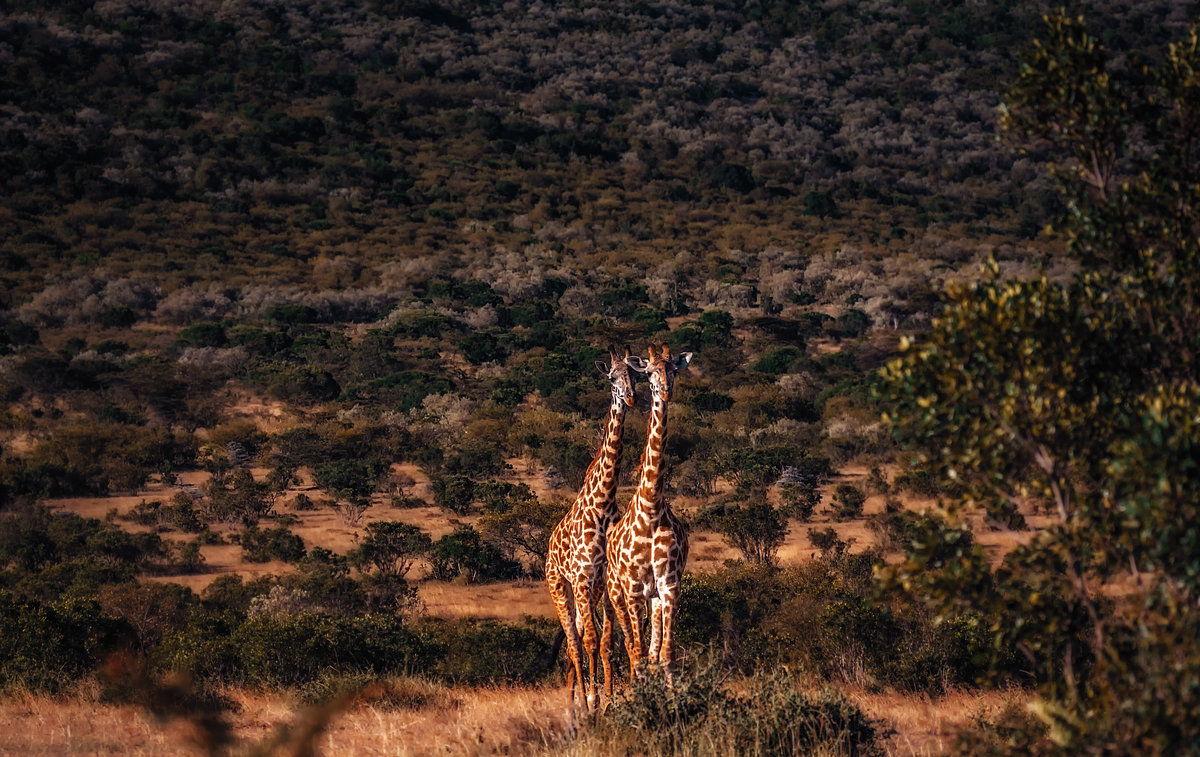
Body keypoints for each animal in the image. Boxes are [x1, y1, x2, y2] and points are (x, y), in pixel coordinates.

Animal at [544, 345, 638, 715]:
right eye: (611, 377)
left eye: (636, 374)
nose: (630, 397)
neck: (603, 502)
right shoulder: (583, 579)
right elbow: (590, 641)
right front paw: (595, 702)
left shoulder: (605, 581)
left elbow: (608, 641)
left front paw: (610, 699)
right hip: (560, 586)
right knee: (574, 641)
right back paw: (579, 704)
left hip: (590, 591)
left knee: (583, 638)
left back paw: (575, 699)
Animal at [609, 343, 696, 686]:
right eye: (648, 373)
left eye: (673, 369)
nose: (665, 390)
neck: (651, 507)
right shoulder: (633, 588)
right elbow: (637, 654)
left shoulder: (669, 585)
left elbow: (665, 656)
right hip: (619, 592)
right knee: (631, 648)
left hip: (654, 596)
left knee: (651, 652)